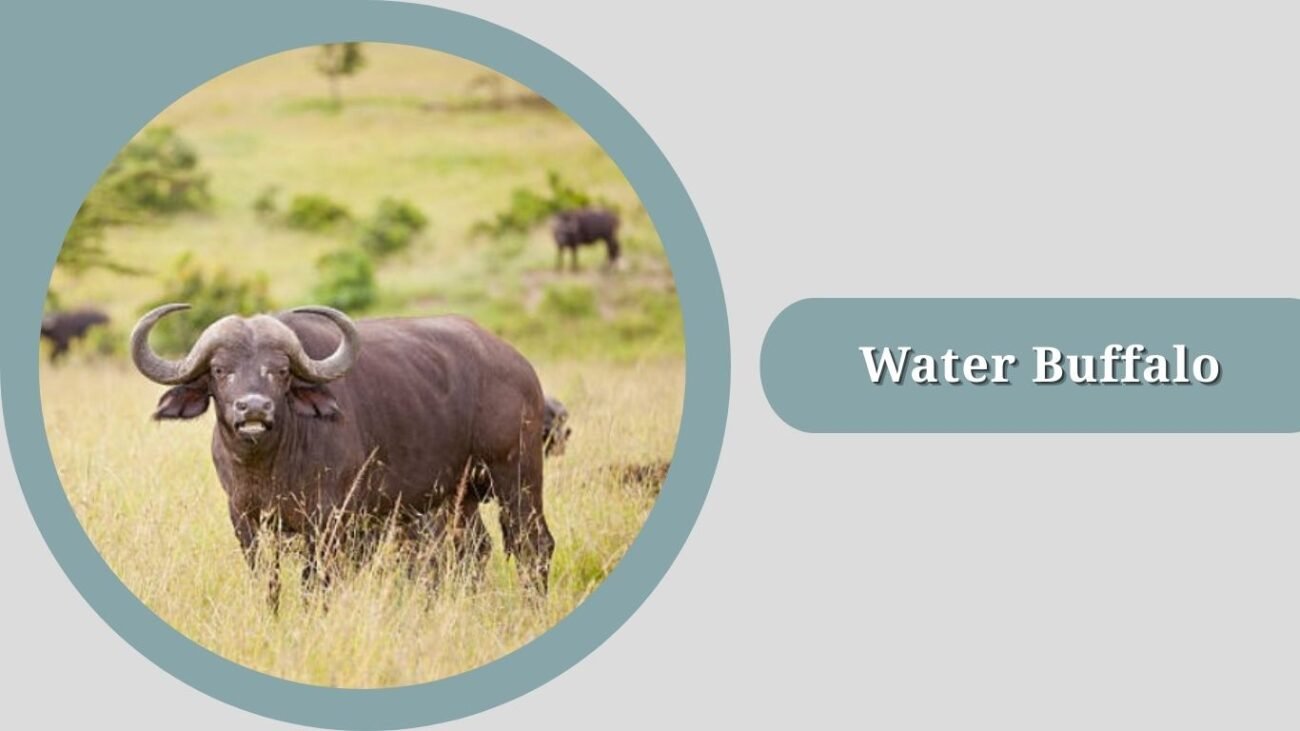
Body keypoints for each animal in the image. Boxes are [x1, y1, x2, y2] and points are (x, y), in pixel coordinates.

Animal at [130, 303, 554, 607]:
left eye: (280, 370)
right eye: (220, 370)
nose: (253, 409)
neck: (270, 466)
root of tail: (518, 366)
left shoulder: (328, 521)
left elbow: (315, 582)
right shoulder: (244, 518)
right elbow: (267, 579)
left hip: (517, 475)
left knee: (534, 544)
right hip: (456, 496)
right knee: (472, 550)